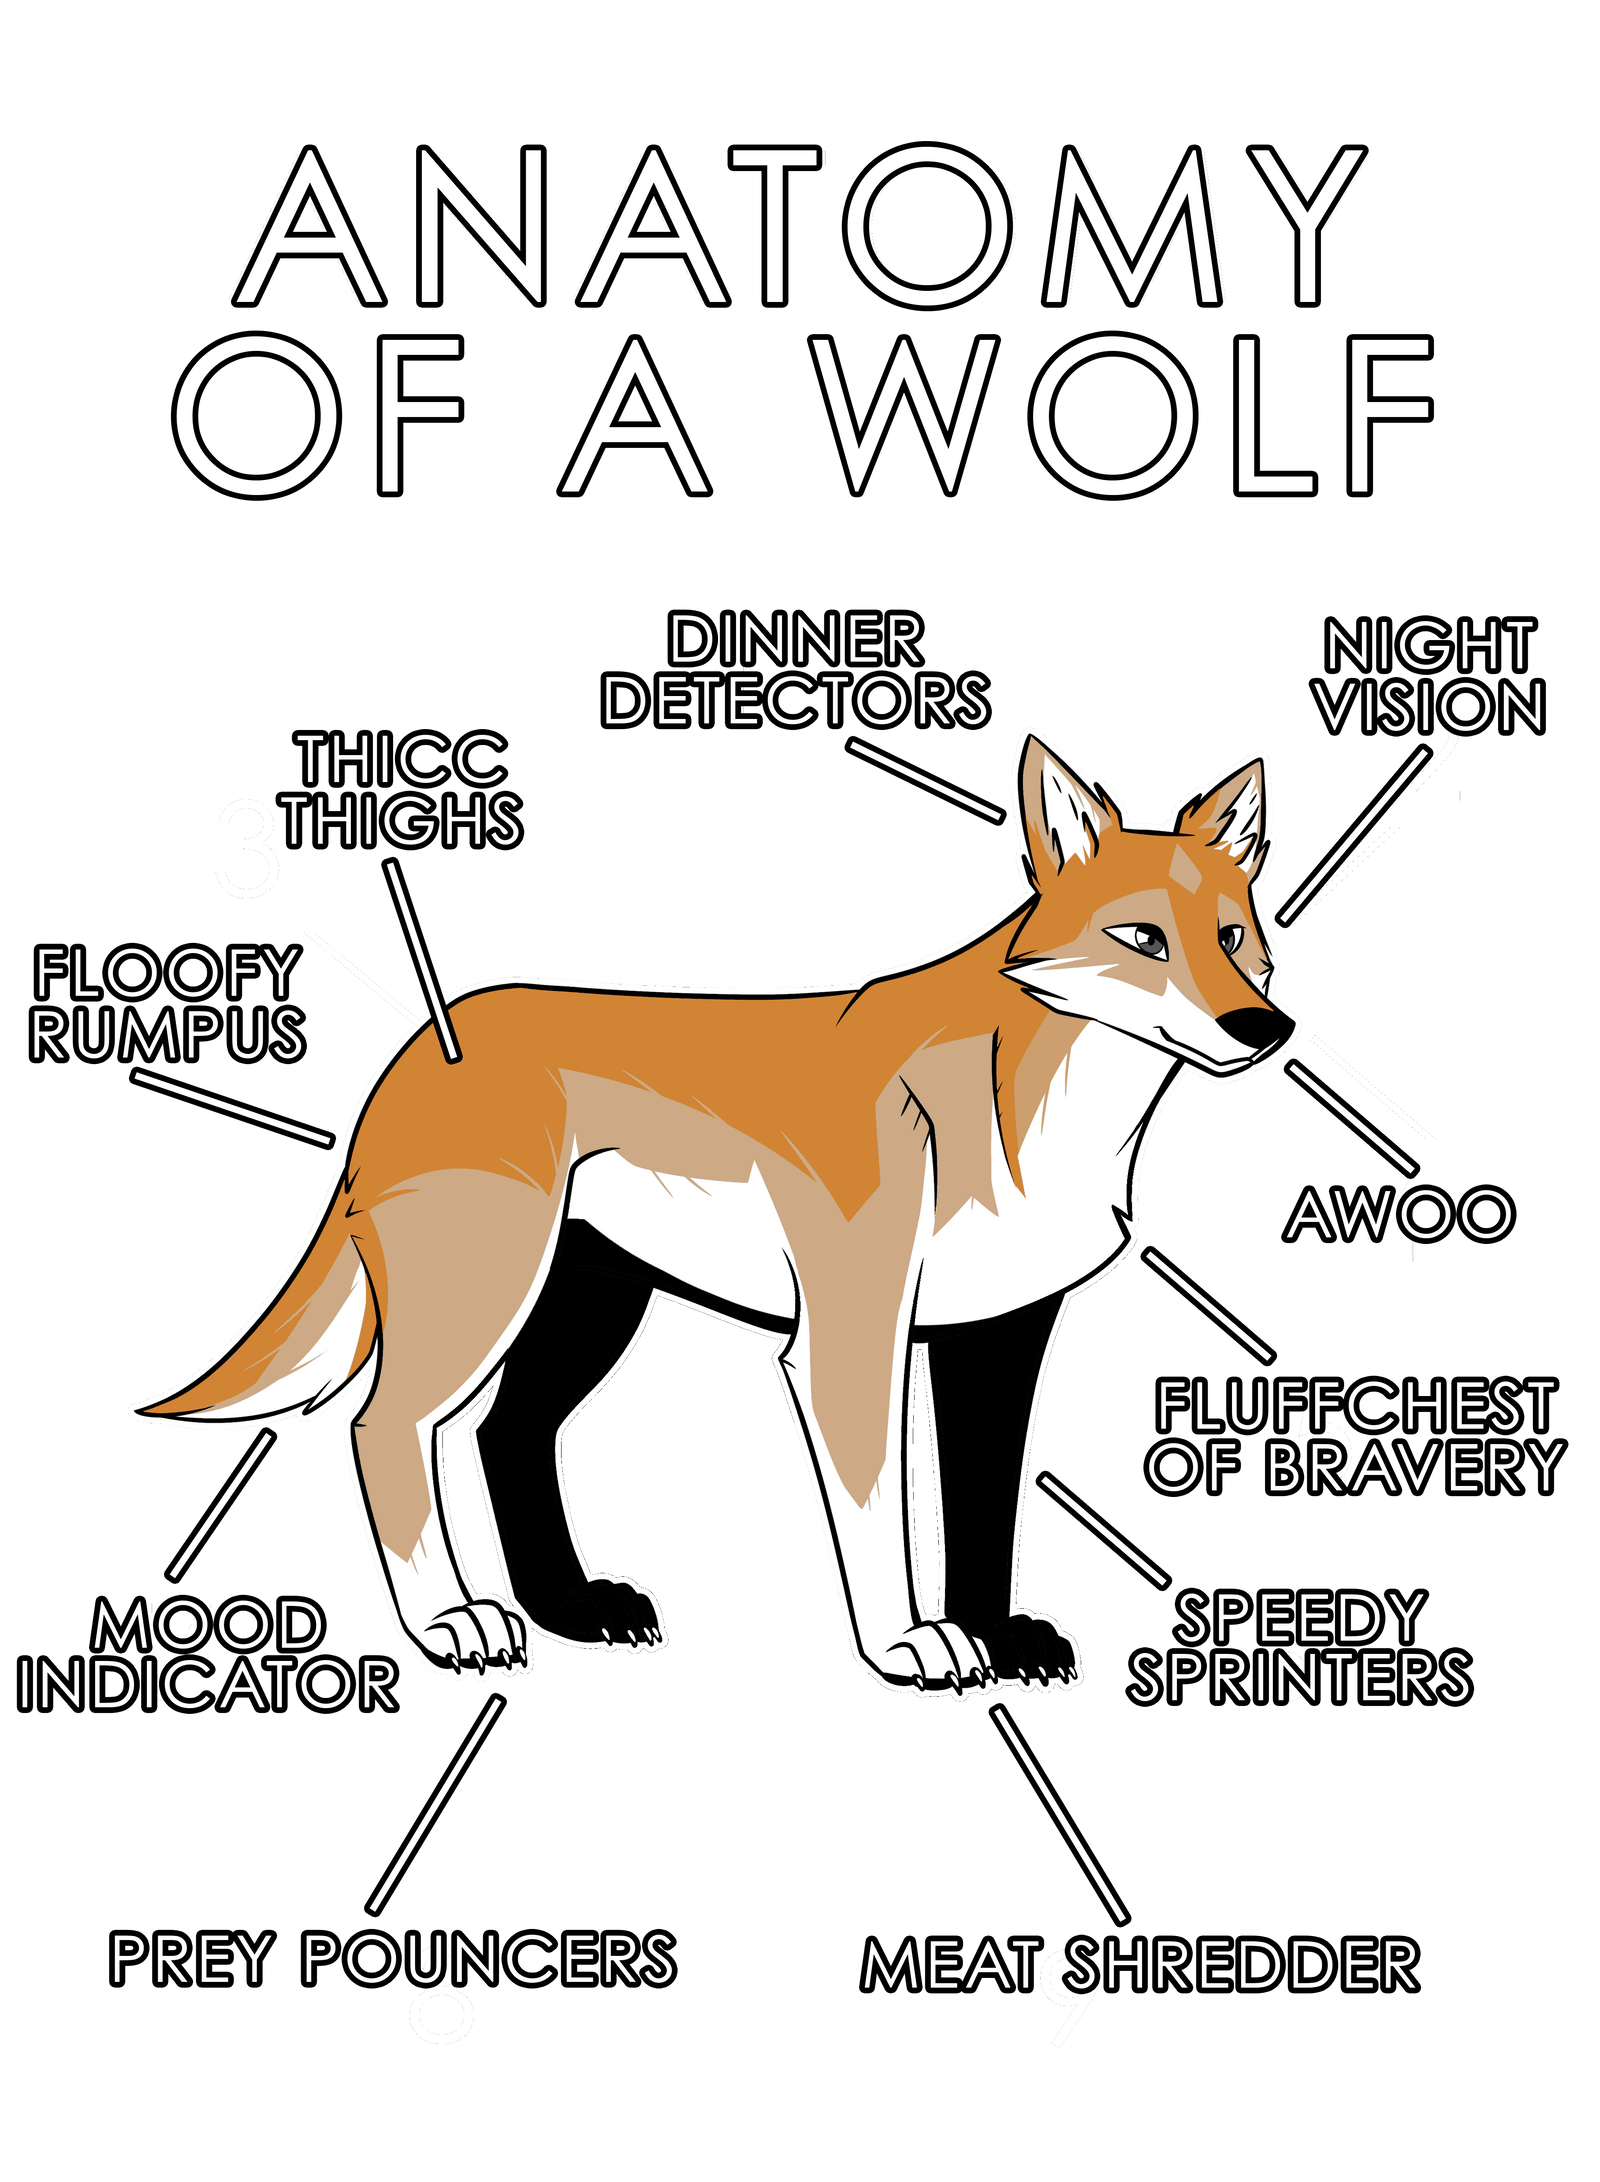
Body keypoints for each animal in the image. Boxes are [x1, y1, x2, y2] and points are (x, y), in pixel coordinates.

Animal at [137, 731, 1295, 1696]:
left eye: (1236, 939)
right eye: (1142, 939)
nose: (1264, 1027)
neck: (1039, 1109)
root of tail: (423, 1041)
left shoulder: (997, 1335)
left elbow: (982, 1508)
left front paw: (997, 1637)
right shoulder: (850, 1335)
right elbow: (879, 1512)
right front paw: (906, 1645)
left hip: (589, 1305)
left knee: (509, 1433)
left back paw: (570, 1611)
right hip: (490, 1298)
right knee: (386, 1429)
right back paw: (448, 1625)